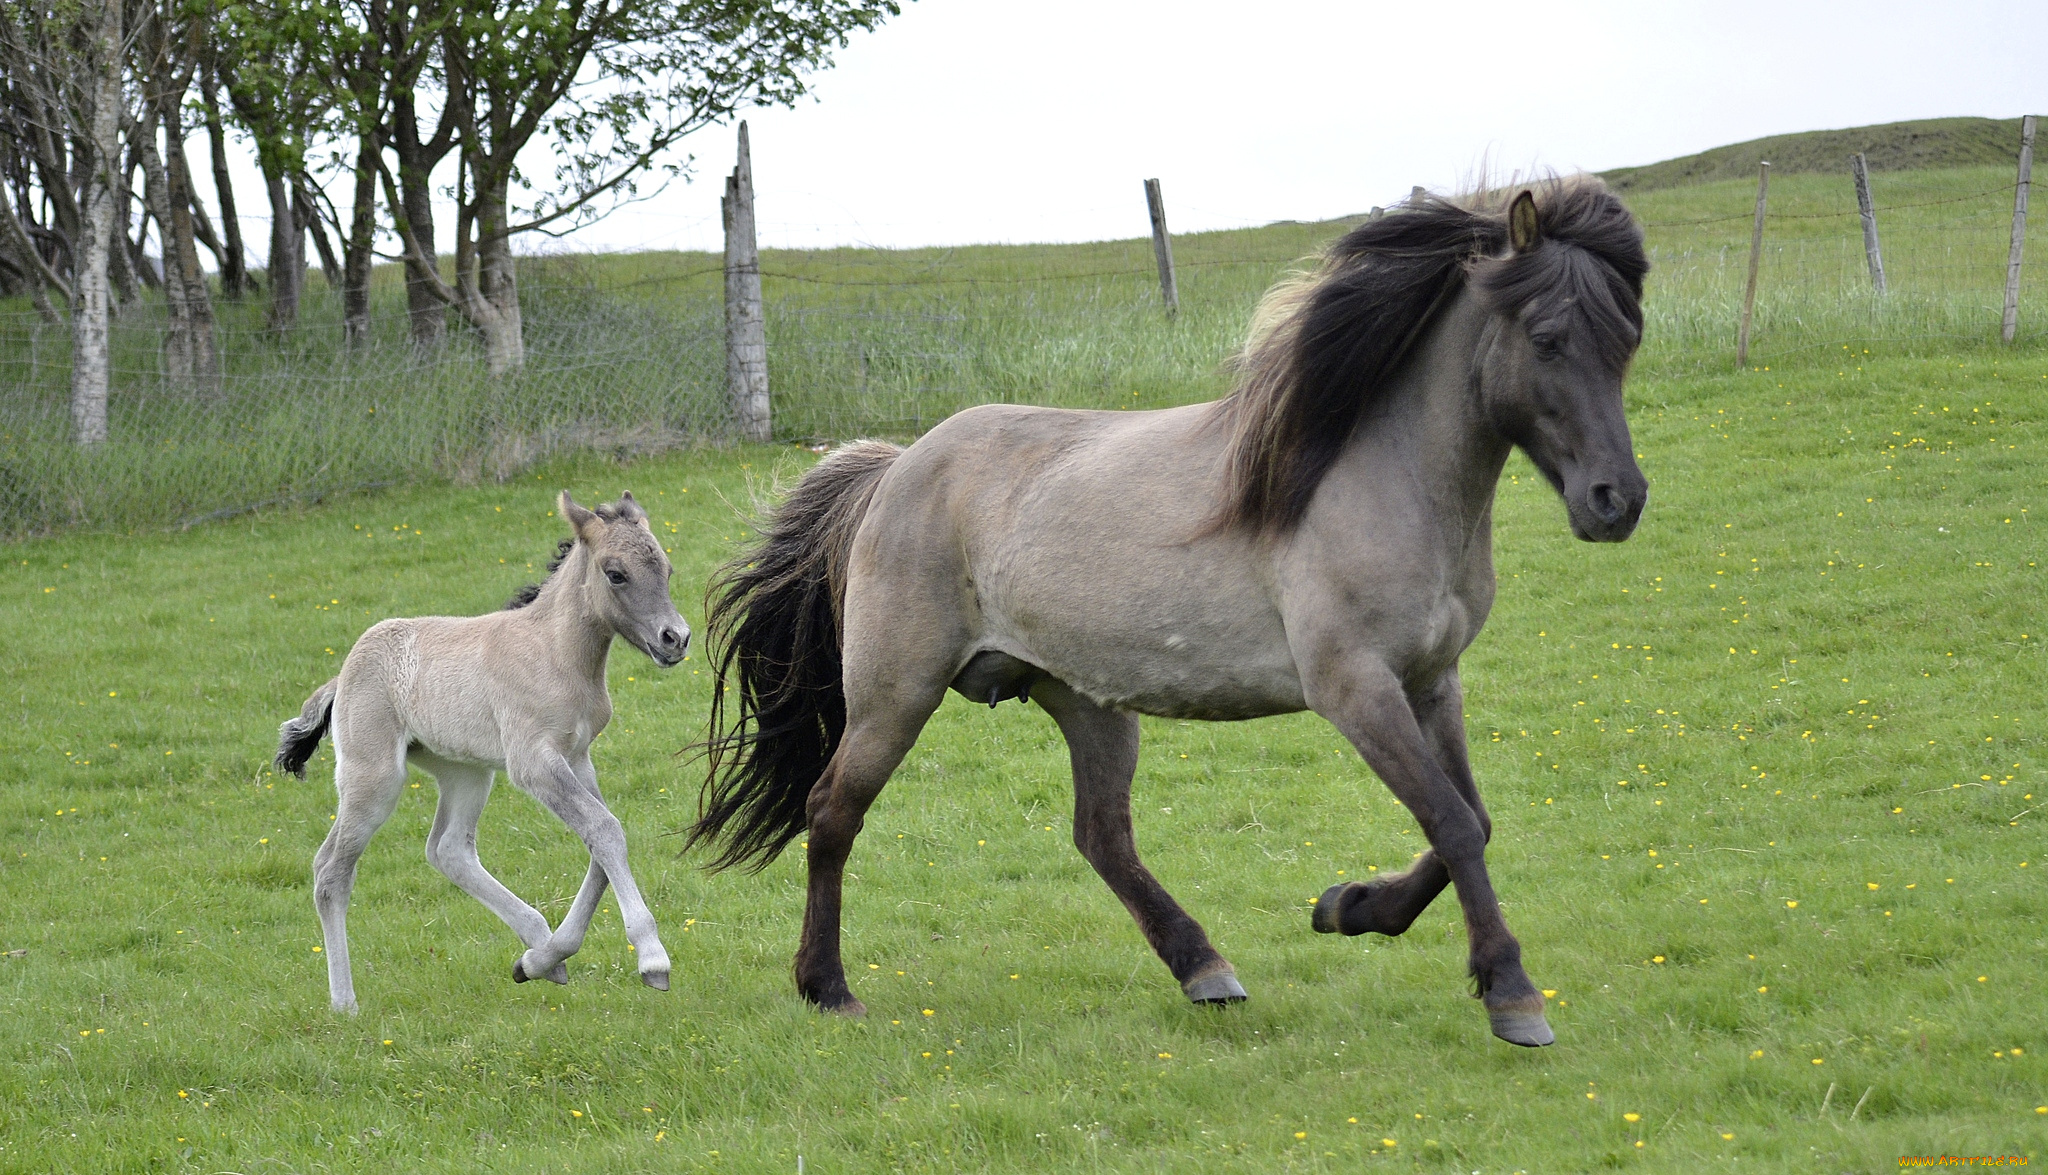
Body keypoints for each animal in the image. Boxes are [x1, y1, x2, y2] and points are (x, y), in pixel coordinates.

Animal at [272, 493, 692, 1019]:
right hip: (374, 779)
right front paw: (653, 959)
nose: (675, 639)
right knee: (331, 871)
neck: (555, 654)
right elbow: (605, 830)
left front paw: (540, 959)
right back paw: (345, 1003)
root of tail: (344, 672)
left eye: (667, 568)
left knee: (449, 849)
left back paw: (539, 946)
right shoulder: (534, 763)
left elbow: (601, 842)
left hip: (465, 773)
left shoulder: (578, 757)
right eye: (616, 573)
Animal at [688, 180, 1646, 1056]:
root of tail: (893, 469)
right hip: (896, 694)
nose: (1617, 501)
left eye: (1628, 337)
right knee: (832, 811)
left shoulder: (1431, 682)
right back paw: (827, 986)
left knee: (1101, 835)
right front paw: (1511, 992)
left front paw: (1352, 907)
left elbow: (1470, 822)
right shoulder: (1356, 688)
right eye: (1548, 338)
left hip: (1087, 702)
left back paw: (1204, 967)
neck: (1377, 477)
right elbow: (1448, 820)